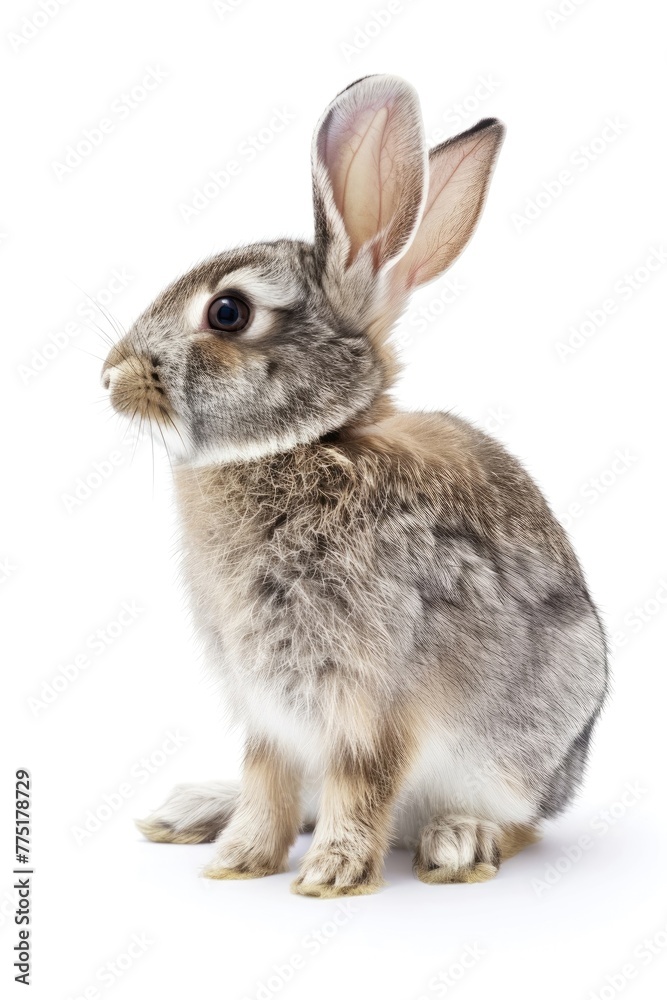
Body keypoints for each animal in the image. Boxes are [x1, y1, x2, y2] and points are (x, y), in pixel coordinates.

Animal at [102, 75, 608, 897]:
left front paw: (331, 876)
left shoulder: (377, 697)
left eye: (227, 311)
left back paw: (457, 842)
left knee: (516, 822)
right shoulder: (268, 708)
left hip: (523, 745)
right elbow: (268, 780)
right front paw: (239, 861)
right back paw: (191, 810)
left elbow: (361, 780)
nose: (110, 377)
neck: (311, 443)